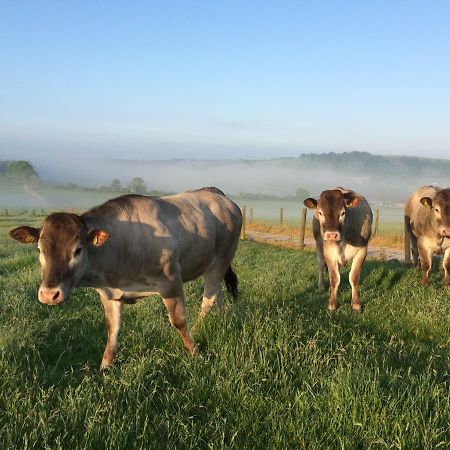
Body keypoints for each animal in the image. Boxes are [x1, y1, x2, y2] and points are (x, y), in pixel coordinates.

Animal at [9, 188, 243, 368]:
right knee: (218, 294)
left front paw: (194, 351)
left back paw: (198, 329)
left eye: (77, 250)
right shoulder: (109, 293)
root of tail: (217, 194)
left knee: (209, 299)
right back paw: (223, 319)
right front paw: (105, 365)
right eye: (40, 249)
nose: (49, 294)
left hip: (222, 258)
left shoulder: (171, 282)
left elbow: (179, 321)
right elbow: (112, 329)